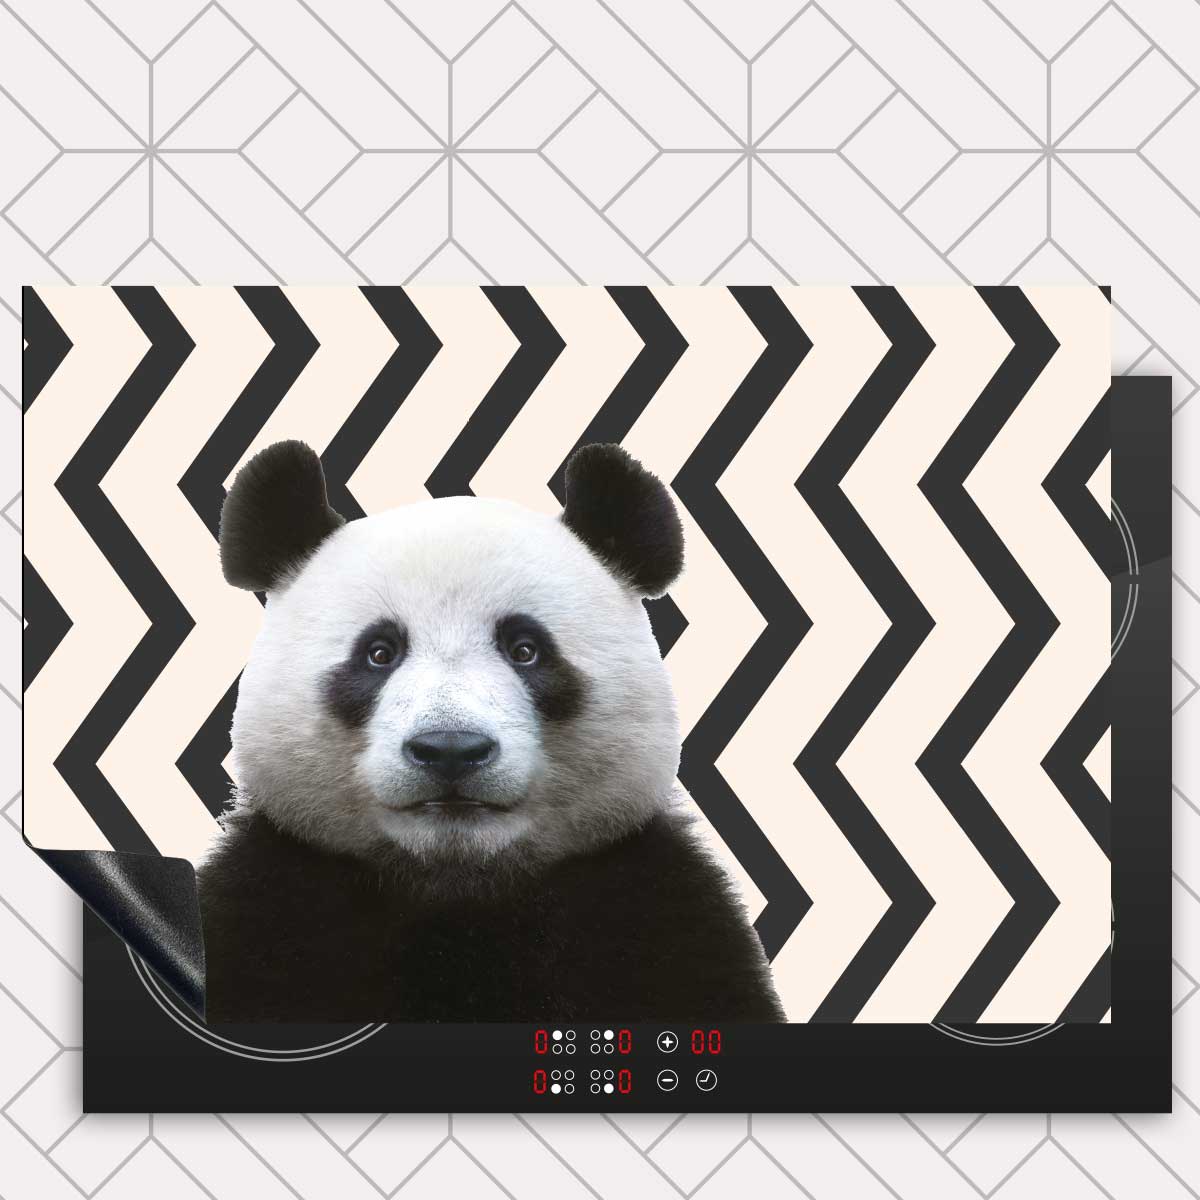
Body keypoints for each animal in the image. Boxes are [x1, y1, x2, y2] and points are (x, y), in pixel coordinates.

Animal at [197, 439, 785, 1024]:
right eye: (379, 653)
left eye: (525, 649)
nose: (450, 750)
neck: (459, 889)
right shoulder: (269, 908)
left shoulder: (656, 911)